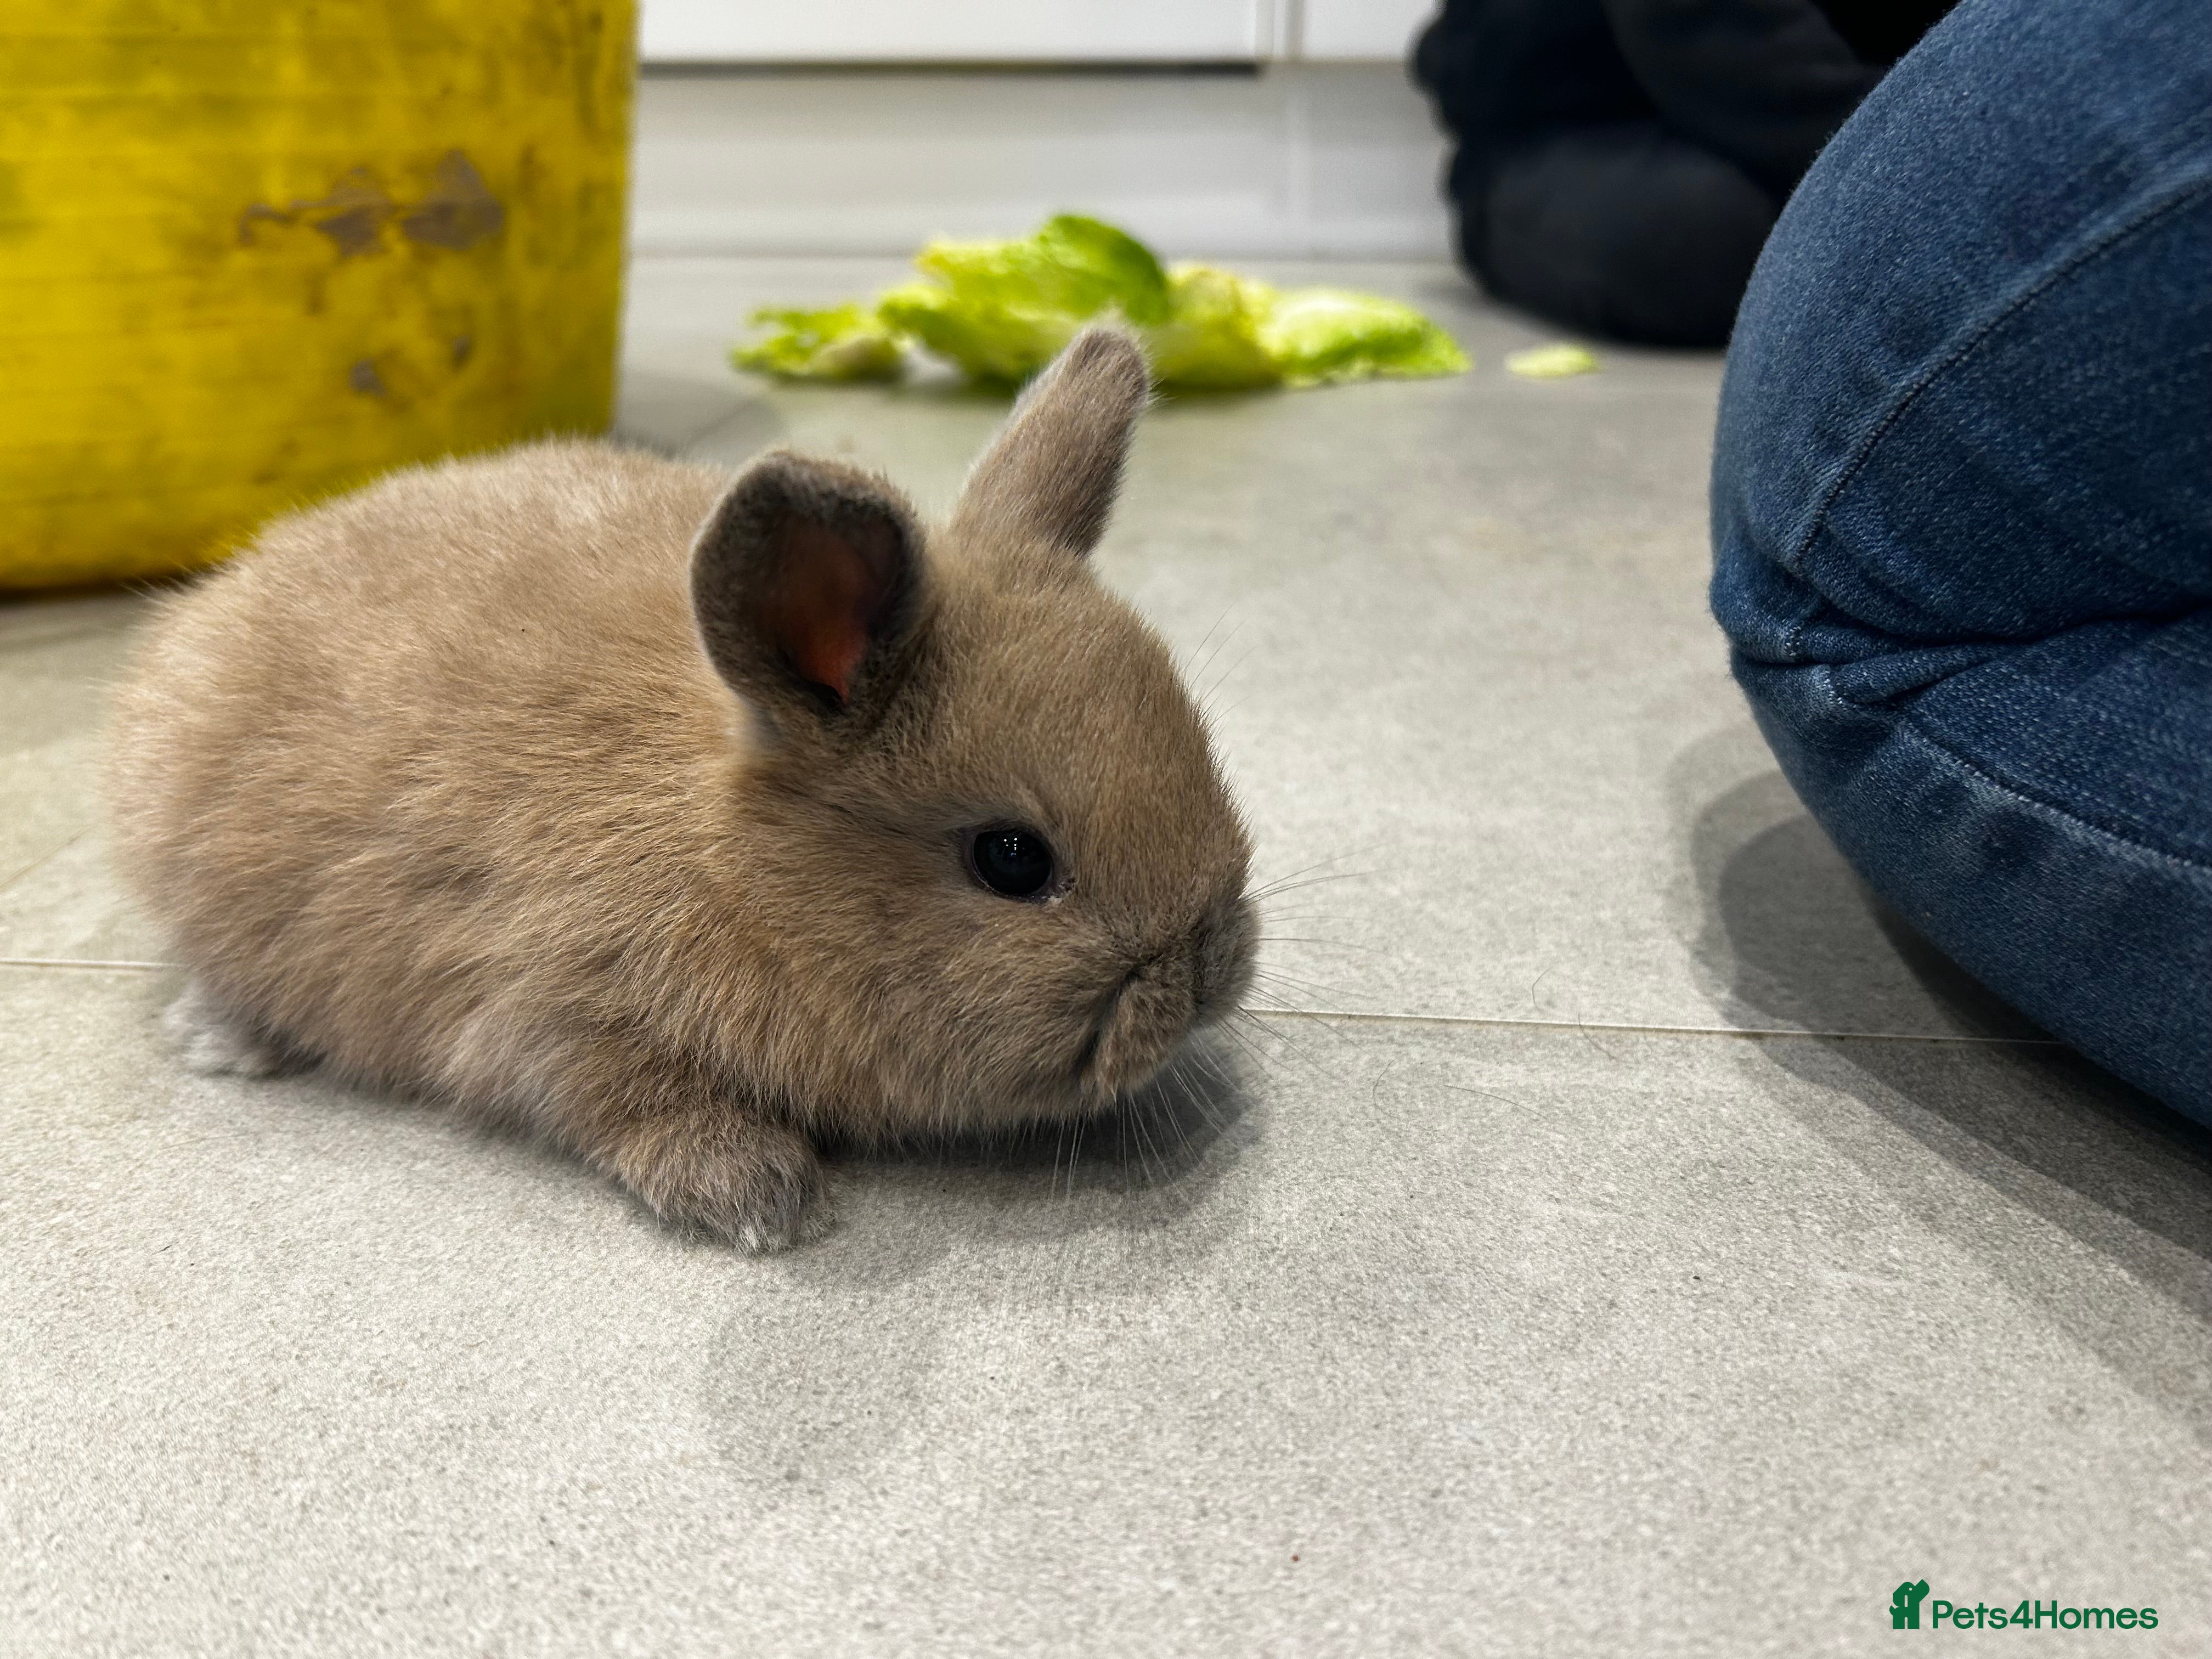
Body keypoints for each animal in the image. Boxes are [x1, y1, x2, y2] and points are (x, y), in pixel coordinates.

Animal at [107, 327, 1257, 1250]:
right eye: (1012, 859)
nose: (1211, 974)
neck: (739, 868)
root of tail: (217, 602)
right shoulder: (553, 1009)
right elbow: (625, 1097)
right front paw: (760, 1198)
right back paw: (223, 1041)